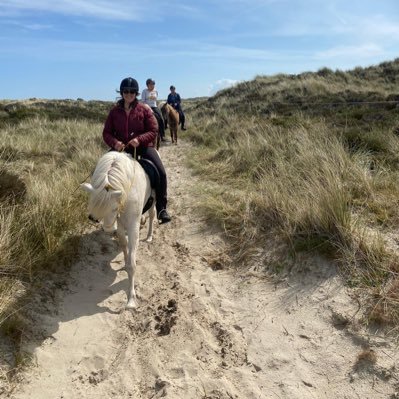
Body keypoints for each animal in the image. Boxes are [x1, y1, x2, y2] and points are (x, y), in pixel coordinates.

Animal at [80, 152, 155, 310]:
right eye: (92, 204)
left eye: (114, 208)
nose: (109, 228)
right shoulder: (120, 223)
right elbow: (123, 243)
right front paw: (125, 263)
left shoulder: (132, 227)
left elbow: (132, 264)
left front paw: (131, 300)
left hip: (154, 200)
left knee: (152, 214)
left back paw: (149, 236)